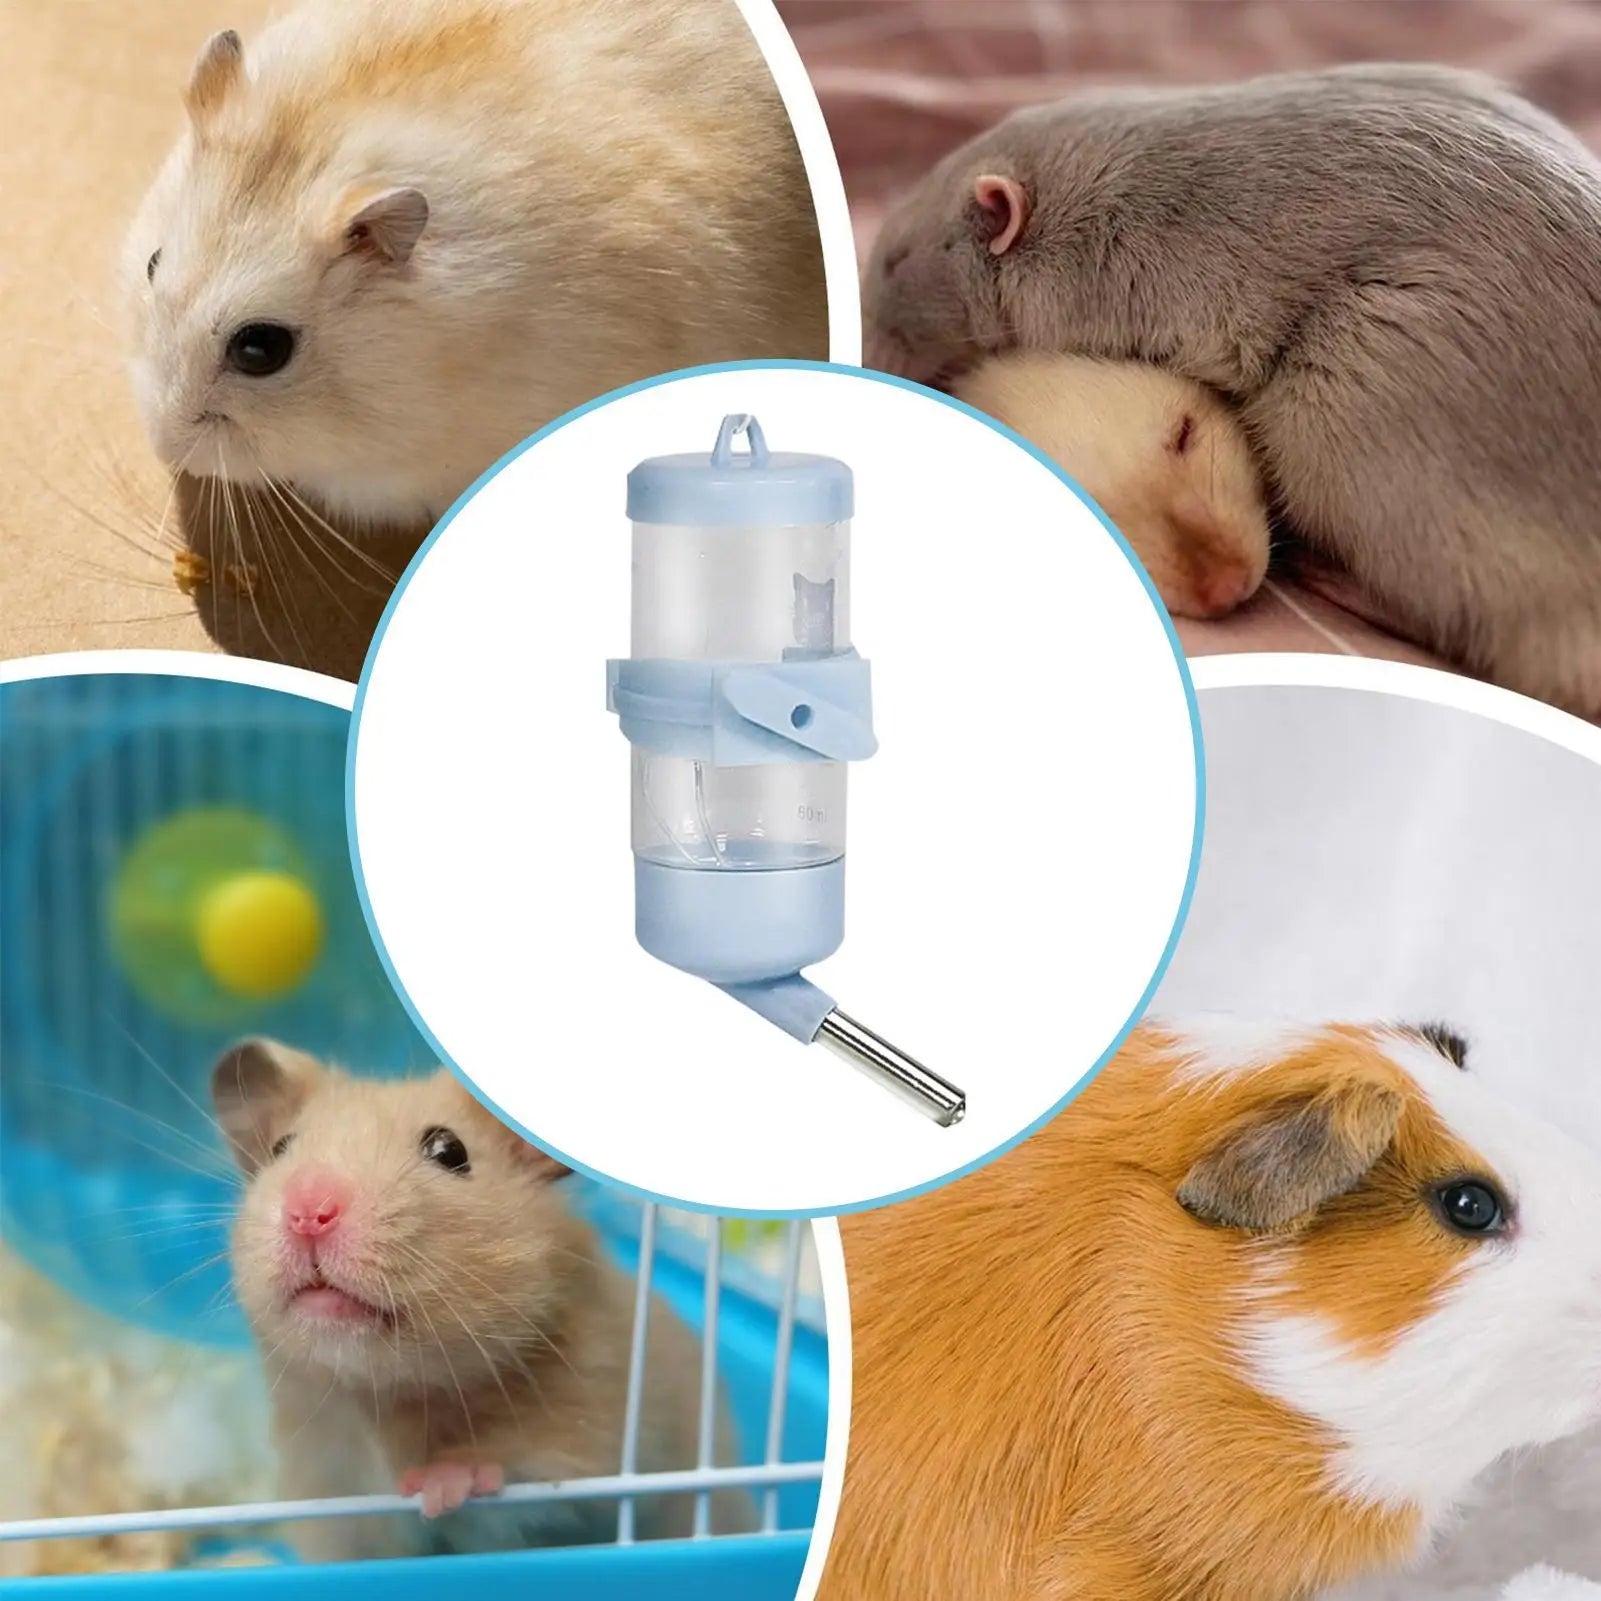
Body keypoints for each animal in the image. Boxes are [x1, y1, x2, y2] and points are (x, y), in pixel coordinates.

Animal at [211, 1040, 750, 1562]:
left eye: (449, 1151)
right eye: (281, 1148)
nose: (307, 1211)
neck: (384, 1398)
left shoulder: (589, 1453)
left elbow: (517, 1481)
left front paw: (436, 1487)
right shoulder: (334, 1505)